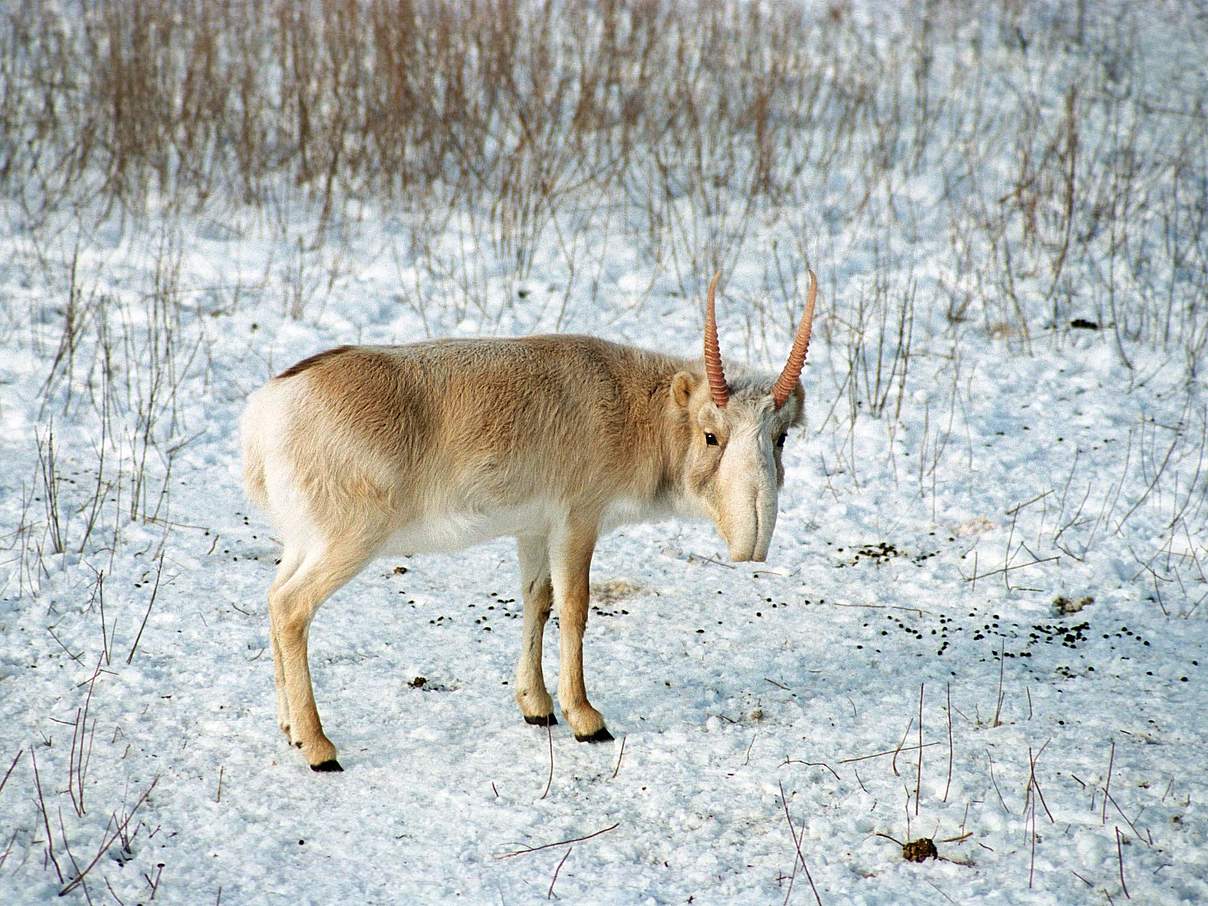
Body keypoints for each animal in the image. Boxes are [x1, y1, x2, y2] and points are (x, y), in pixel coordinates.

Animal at [239, 271, 816, 773]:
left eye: (781, 436)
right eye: (711, 435)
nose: (752, 541)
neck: (636, 410)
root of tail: (265, 412)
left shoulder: (534, 528)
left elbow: (537, 601)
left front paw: (536, 706)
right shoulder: (579, 520)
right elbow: (575, 608)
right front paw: (586, 719)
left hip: (303, 543)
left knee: (272, 598)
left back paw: (288, 729)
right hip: (348, 541)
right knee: (292, 609)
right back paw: (319, 748)